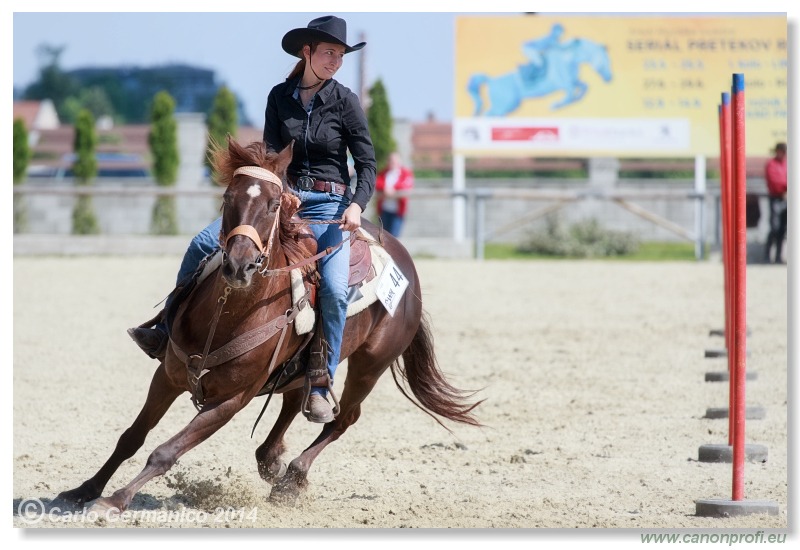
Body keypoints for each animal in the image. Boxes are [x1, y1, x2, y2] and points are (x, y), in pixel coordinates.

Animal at [57, 139, 482, 512]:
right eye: (228, 198)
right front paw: (84, 490)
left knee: (343, 418)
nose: (239, 265)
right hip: (302, 367)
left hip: (370, 364)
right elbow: (131, 437)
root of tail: (405, 266)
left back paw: (292, 477)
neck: (228, 315)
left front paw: (114, 500)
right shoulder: (168, 376)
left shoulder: (231, 400)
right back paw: (271, 459)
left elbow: (164, 452)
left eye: (274, 204)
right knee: (295, 401)